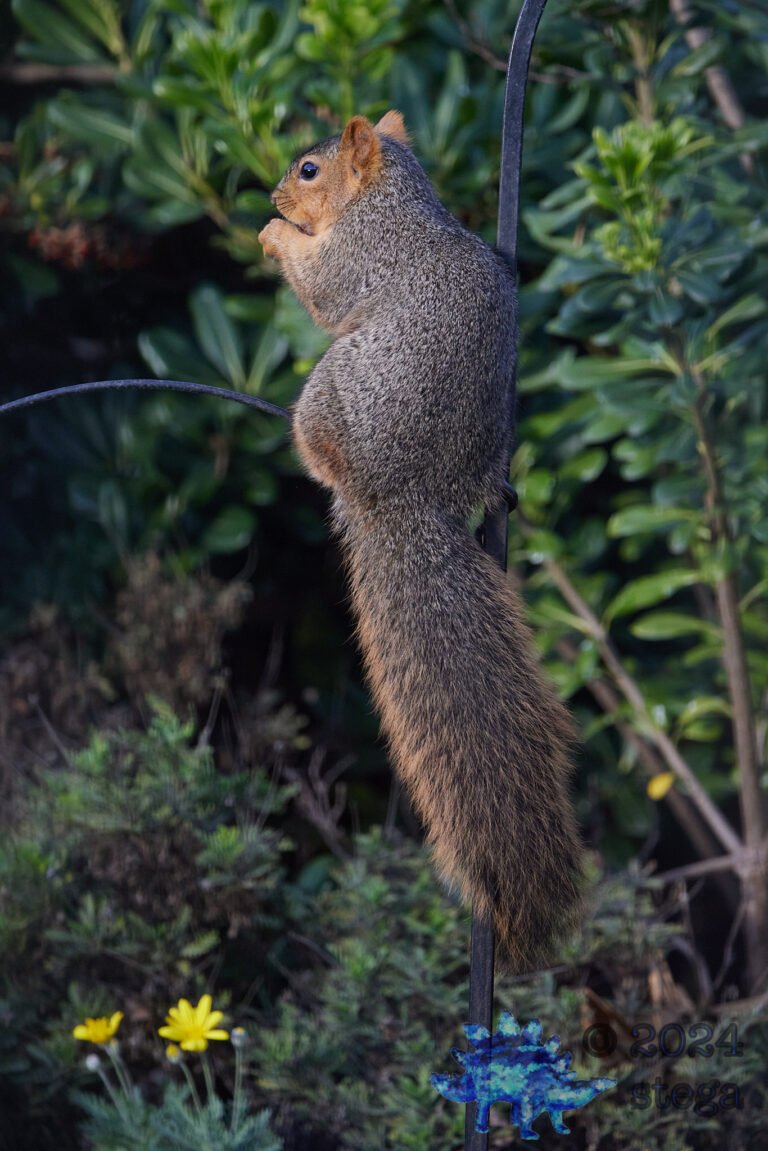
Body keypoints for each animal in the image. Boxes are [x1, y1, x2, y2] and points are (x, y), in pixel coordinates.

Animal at [259, 110, 582, 972]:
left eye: (310, 169)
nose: (273, 194)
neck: (396, 197)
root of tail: (397, 498)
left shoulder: (359, 253)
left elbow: (325, 289)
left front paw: (275, 234)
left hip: (324, 396)